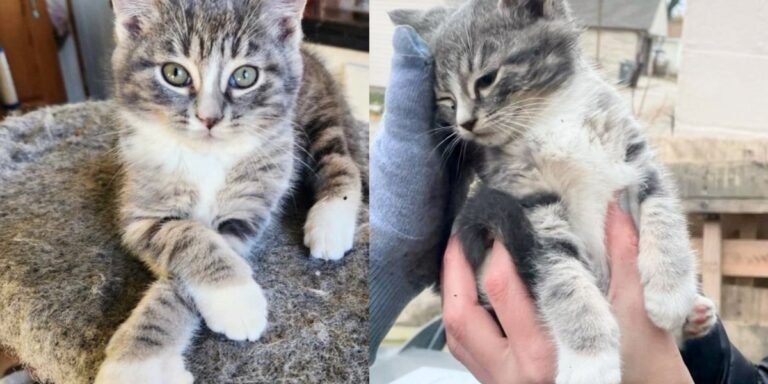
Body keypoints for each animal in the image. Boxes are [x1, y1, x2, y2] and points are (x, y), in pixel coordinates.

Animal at [94, 1, 364, 382]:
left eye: (245, 75)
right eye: (174, 73)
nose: (209, 118)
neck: (207, 157)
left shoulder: (250, 203)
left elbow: (196, 260)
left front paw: (235, 303)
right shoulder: (141, 210)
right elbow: (188, 237)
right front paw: (141, 362)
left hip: (315, 116)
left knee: (341, 161)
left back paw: (330, 223)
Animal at [392, 0, 716, 384]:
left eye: (486, 79)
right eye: (446, 99)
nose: (465, 124)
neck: (551, 117)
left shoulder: (635, 154)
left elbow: (662, 206)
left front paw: (671, 288)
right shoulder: (530, 205)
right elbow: (563, 275)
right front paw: (590, 359)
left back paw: (694, 315)